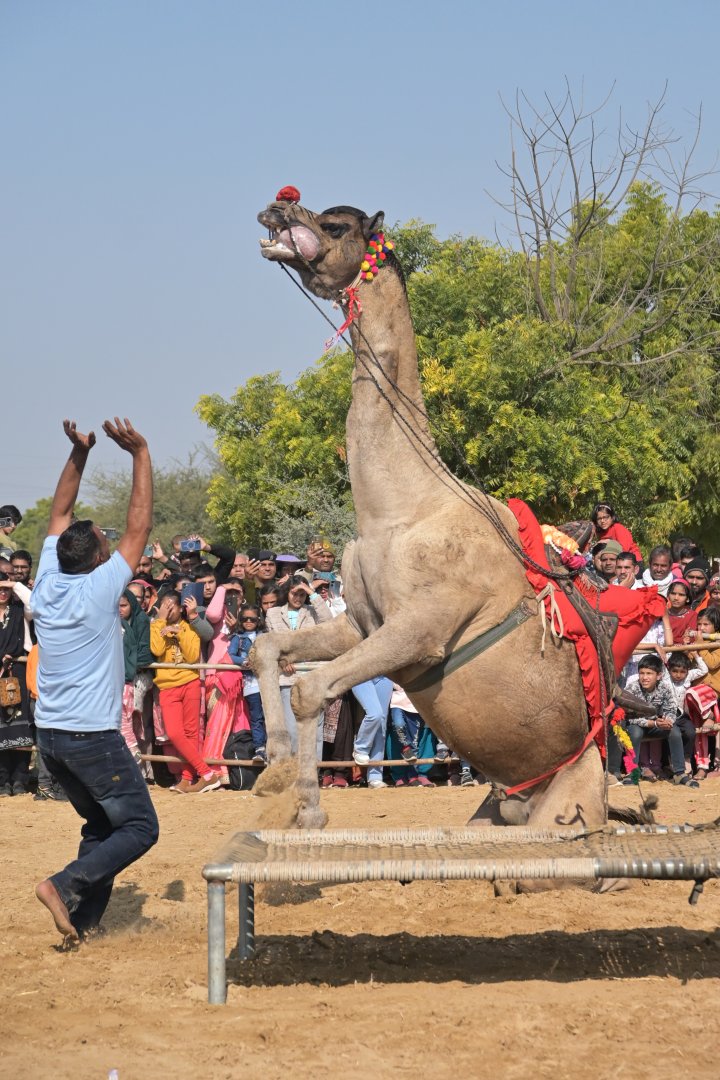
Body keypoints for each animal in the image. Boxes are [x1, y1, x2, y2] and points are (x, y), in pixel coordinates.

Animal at [251, 193, 619, 834]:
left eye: (335, 225)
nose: (276, 209)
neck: (398, 508)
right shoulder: (361, 623)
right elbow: (268, 648)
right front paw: (272, 773)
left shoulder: (421, 631)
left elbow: (313, 689)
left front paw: (309, 813)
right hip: (495, 808)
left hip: (565, 809)